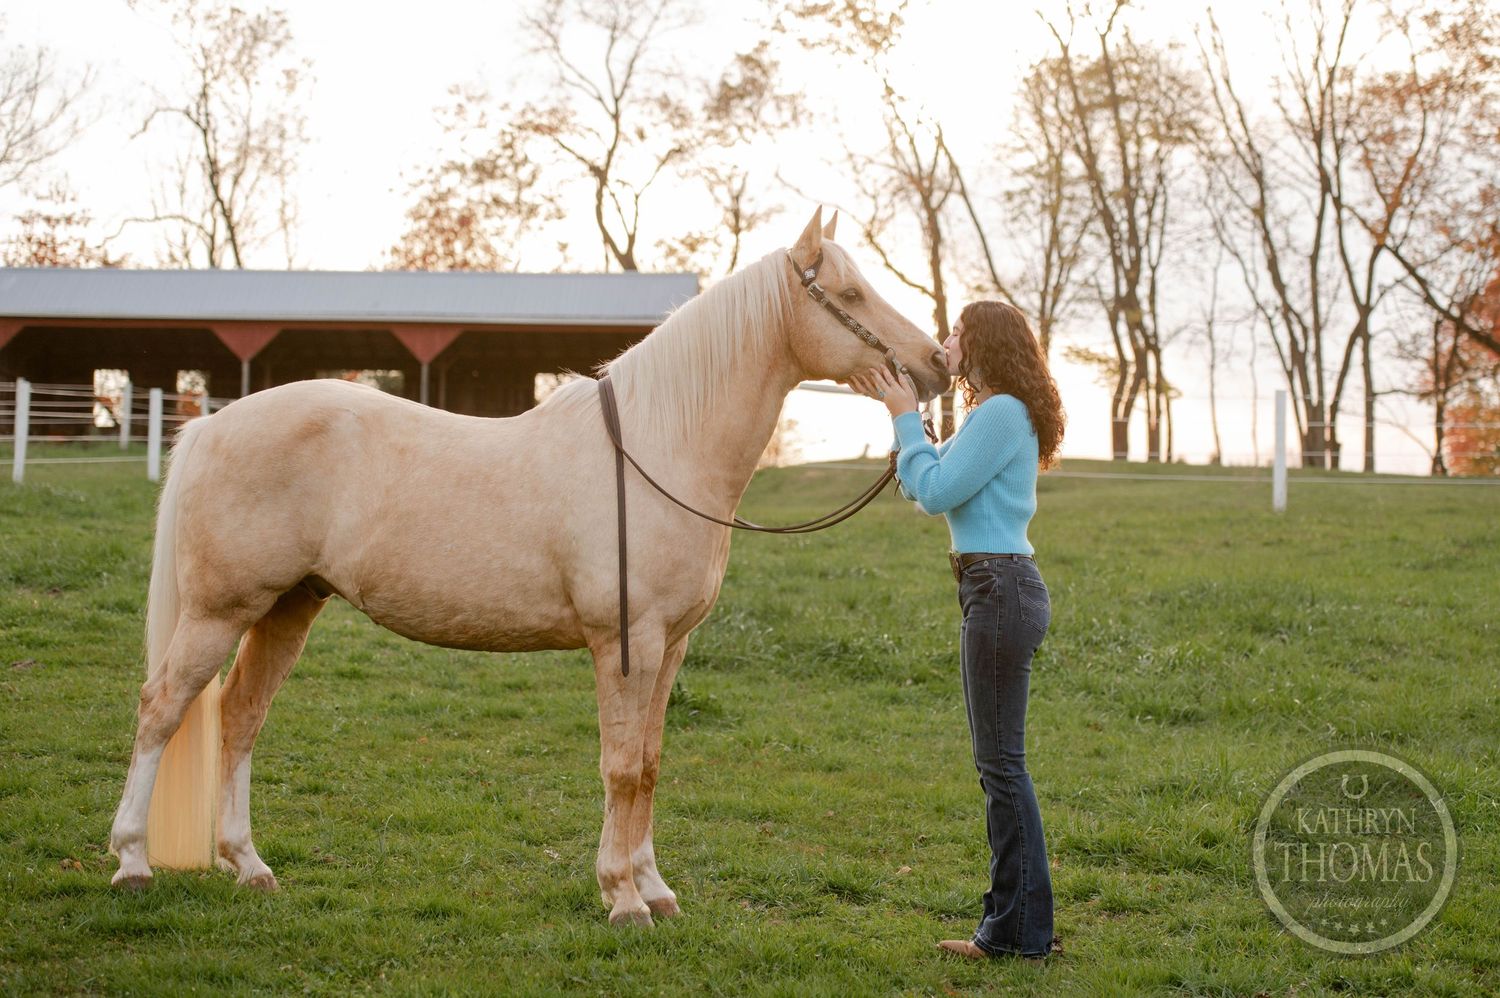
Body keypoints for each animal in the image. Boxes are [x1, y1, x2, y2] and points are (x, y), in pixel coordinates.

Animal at [108, 208, 951, 926]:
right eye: (850, 293)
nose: (937, 363)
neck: (657, 449)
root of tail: (211, 428)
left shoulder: (671, 646)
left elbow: (650, 764)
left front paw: (655, 888)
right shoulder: (625, 644)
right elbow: (621, 768)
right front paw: (623, 899)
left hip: (289, 606)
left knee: (240, 716)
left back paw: (249, 866)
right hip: (221, 610)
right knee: (162, 709)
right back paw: (132, 864)